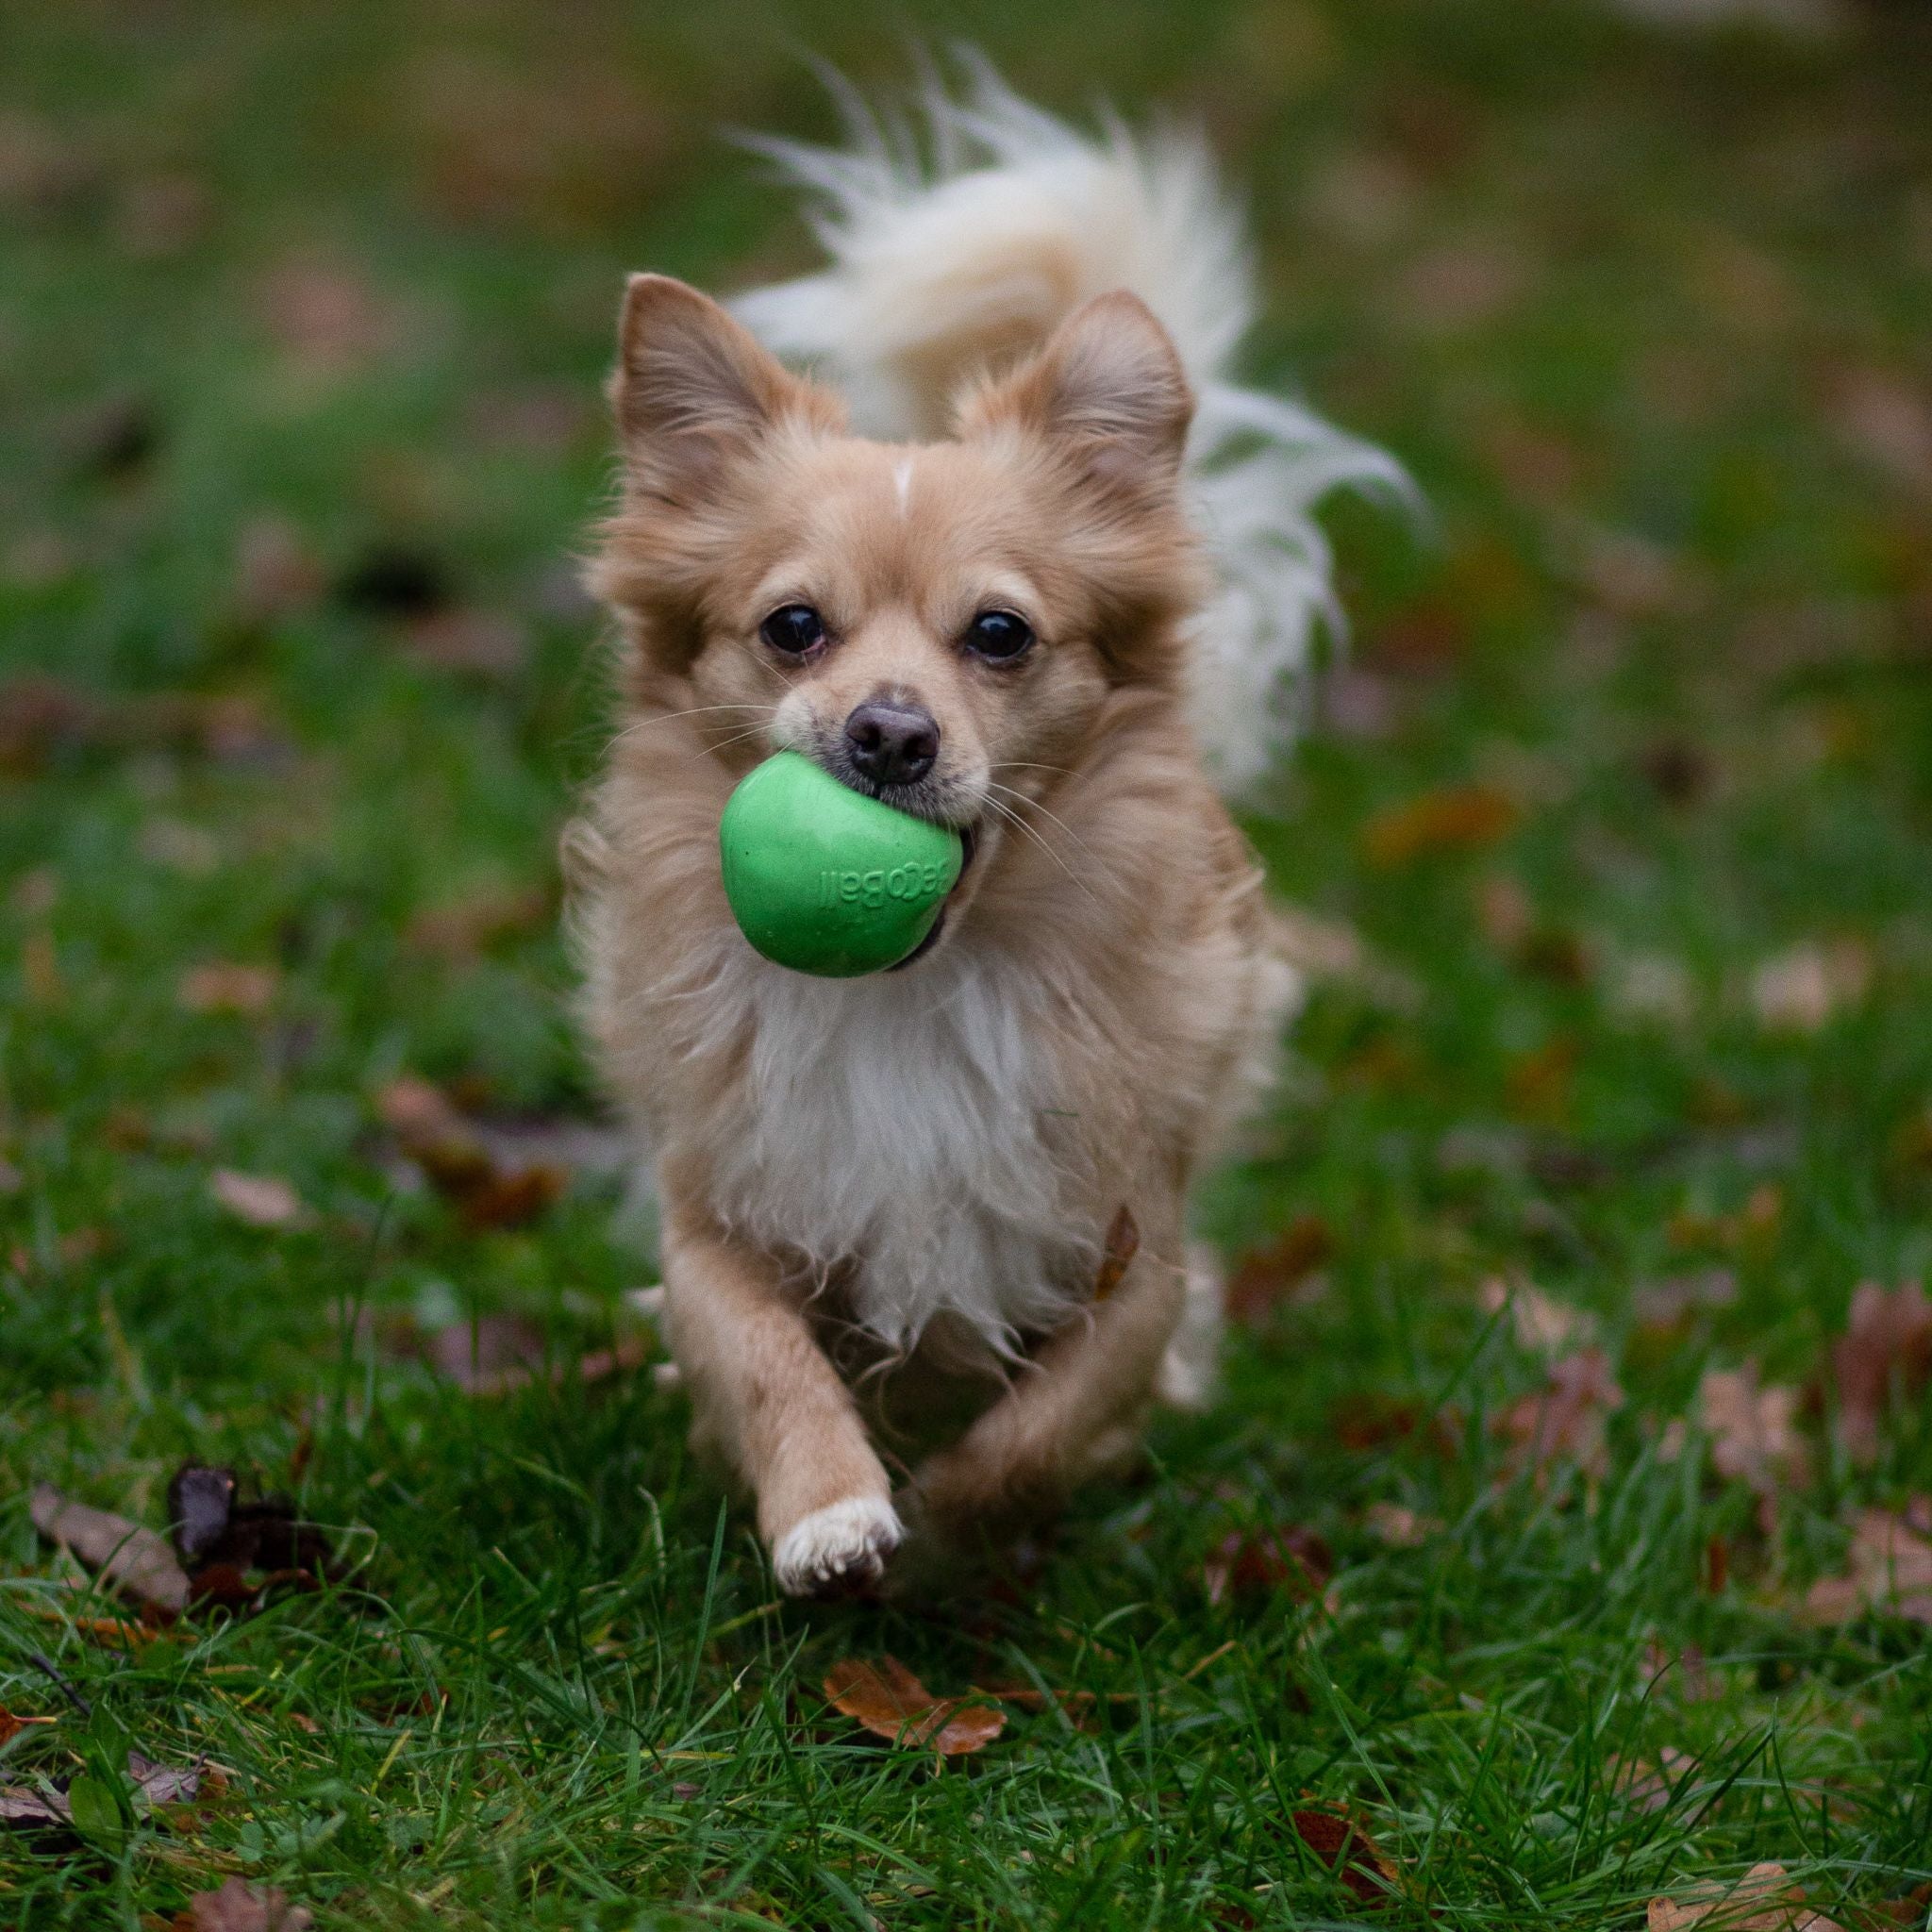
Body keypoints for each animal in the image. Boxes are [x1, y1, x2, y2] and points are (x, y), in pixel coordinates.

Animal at [564, 68, 1398, 1591]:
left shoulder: (1135, 1246)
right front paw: (830, 1507)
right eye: (793, 627)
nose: (889, 733)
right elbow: (758, 1349)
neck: (914, 996)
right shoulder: (717, 1210)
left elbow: (1053, 1415)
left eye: (999, 634)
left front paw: (958, 1521)